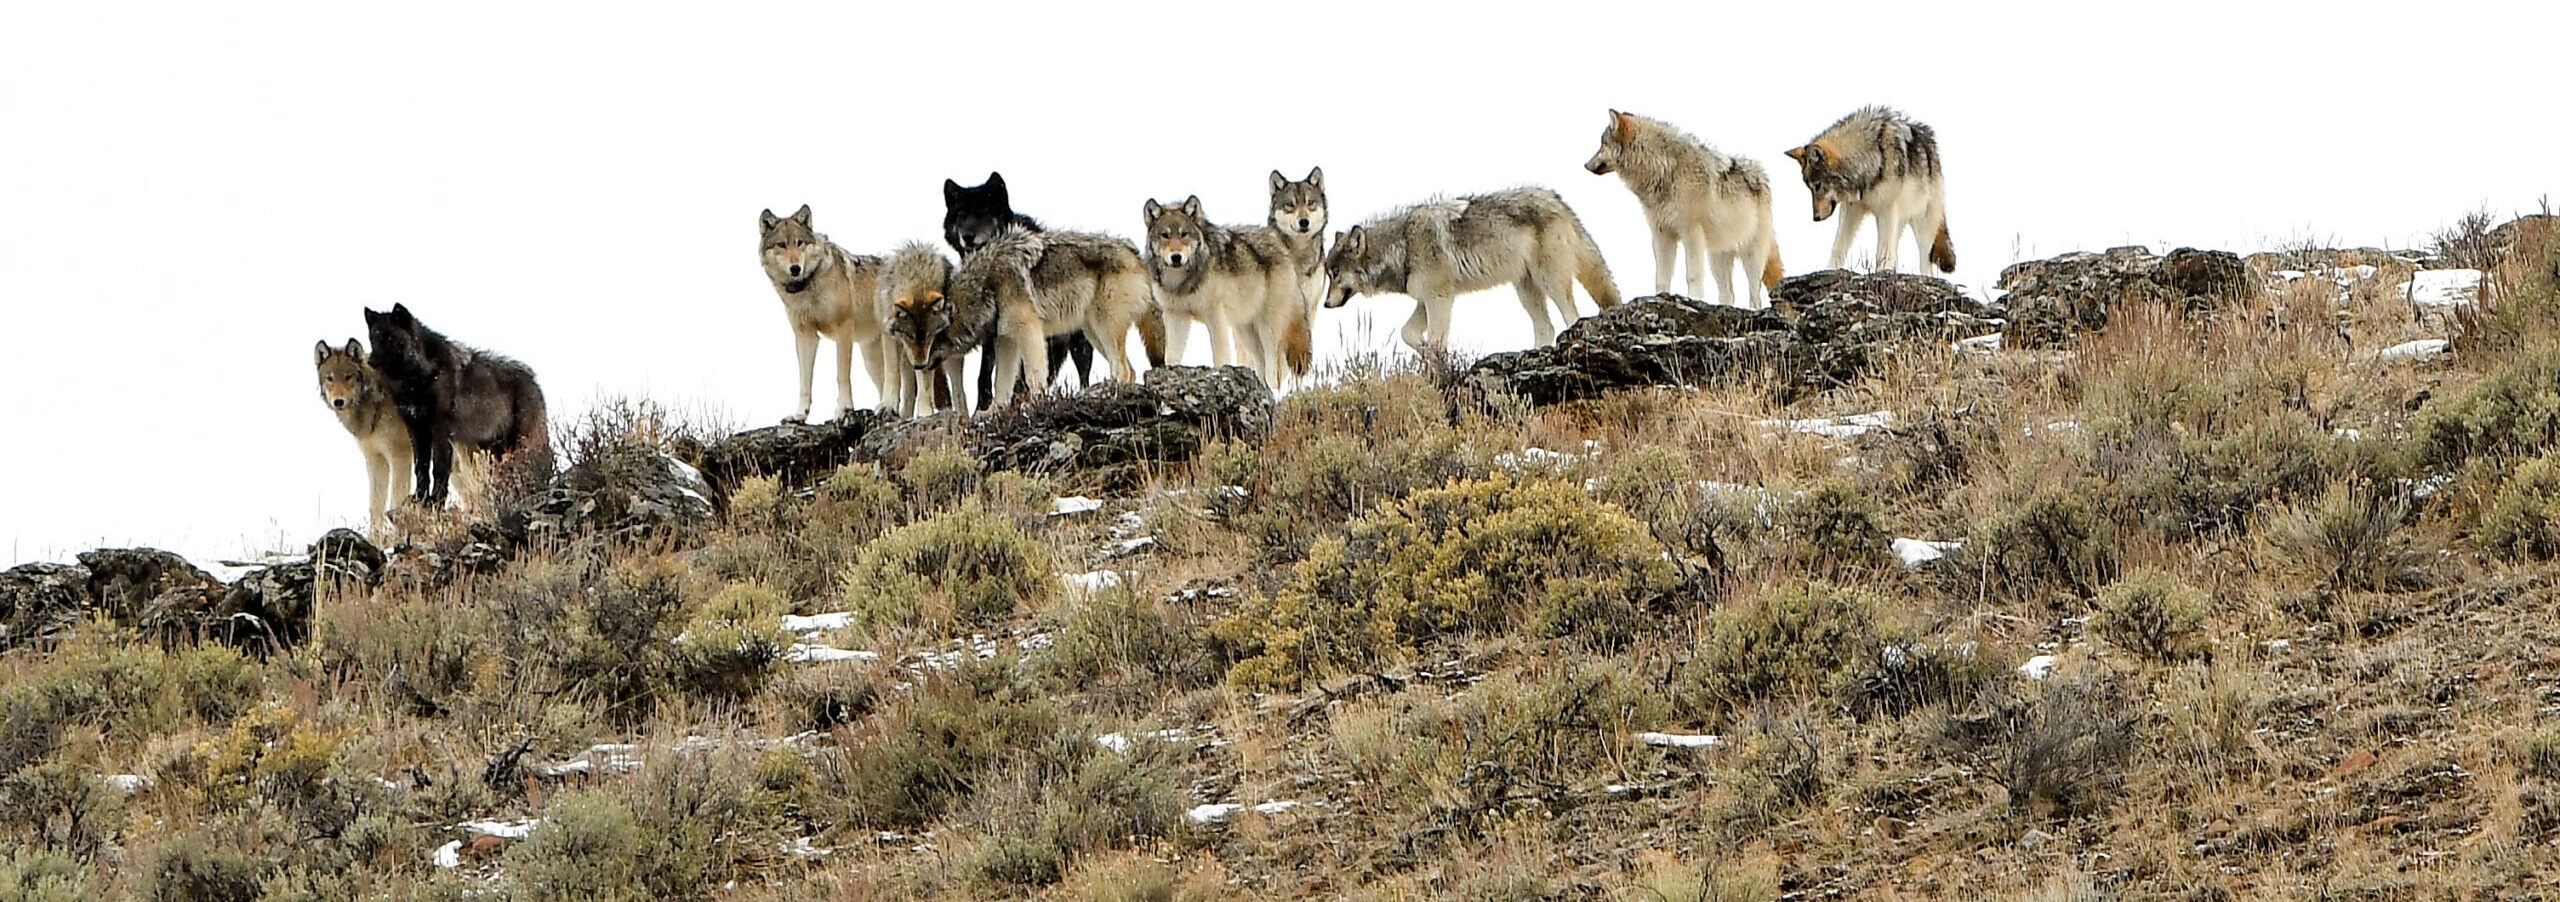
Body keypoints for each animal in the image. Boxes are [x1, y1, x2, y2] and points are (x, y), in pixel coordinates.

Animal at [752, 205, 916, 420]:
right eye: (782, 245)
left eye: (799, 243)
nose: (795, 268)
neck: (809, 285)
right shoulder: (805, 335)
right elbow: (804, 381)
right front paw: (800, 415)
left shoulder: (843, 327)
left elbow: (842, 375)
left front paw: (844, 410)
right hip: (870, 358)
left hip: (891, 344)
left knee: (898, 380)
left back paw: (890, 409)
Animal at [1141, 196, 1300, 386]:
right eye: (1165, 235)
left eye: (1183, 234)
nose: (1176, 257)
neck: (1181, 282)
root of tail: (1279, 243)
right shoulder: (1175, 315)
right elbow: (1172, 355)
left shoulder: (1215, 315)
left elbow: (1221, 355)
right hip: (1245, 330)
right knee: (1261, 363)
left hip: (1268, 328)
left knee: (1273, 368)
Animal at [1320, 184, 1617, 351]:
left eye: (1335, 275)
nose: (1324, 305)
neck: (1403, 245)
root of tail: (1556, 198)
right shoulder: (1425, 301)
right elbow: (1408, 334)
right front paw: (1424, 353)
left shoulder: (1440, 299)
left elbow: (1437, 341)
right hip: (1526, 291)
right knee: (1546, 328)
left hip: (1550, 281)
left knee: (1572, 317)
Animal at [1576, 109, 1781, 310]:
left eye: (1602, 144)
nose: (1585, 165)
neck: (1664, 171)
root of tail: (1762, 176)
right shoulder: (1662, 235)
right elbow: (1661, 277)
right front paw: (1660, 298)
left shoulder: (1692, 234)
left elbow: (1692, 275)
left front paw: (1694, 300)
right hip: (1717, 259)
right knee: (1728, 294)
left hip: (1752, 257)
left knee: (1755, 294)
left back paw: (1753, 310)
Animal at [1781, 106, 1955, 274]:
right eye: (1809, 188)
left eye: (1817, 186)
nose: (1815, 218)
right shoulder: (1852, 210)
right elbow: (1839, 246)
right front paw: (1829, 270)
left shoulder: (1887, 210)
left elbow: (1883, 249)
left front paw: (1883, 271)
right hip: (1900, 220)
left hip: (1922, 223)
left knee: (1925, 259)